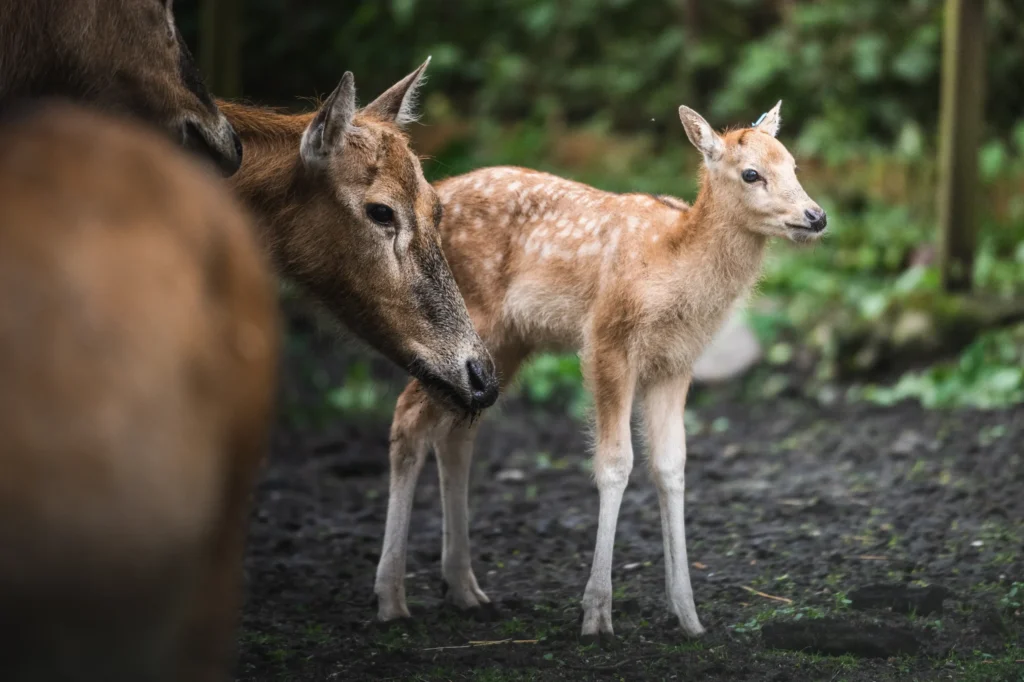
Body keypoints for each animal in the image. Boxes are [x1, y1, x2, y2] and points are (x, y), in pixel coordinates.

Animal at [372, 100, 827, 638]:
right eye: (751, 173)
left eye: (793, 164)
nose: (816, 216)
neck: (672, 264)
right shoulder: (607, 340)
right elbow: (615, 463)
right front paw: (596, 614)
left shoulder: (676, 363)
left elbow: (671, 466)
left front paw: (689, 616)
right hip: (465, 326)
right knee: (408, 418)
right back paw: (391, 599)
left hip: (504, 343)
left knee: (457, 431)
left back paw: (464, 589)